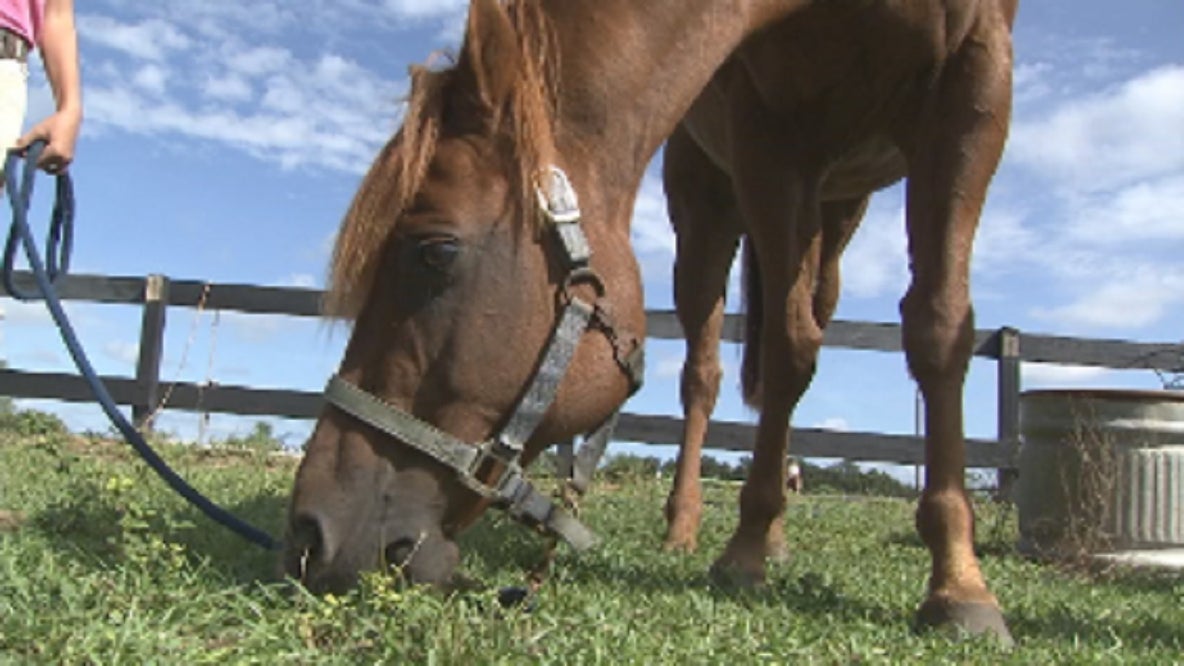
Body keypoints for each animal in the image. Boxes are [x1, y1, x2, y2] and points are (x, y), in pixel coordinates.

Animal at [285, 0, 1018, 643]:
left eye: (436, 252)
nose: (309, 534)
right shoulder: (771, 135)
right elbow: (785, 350)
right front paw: (746, 549)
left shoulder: (977, 76)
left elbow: (938, 327)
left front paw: (959, 585)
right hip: (709, 213)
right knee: (706, 372)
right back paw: (694, 528)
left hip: (841, 208)